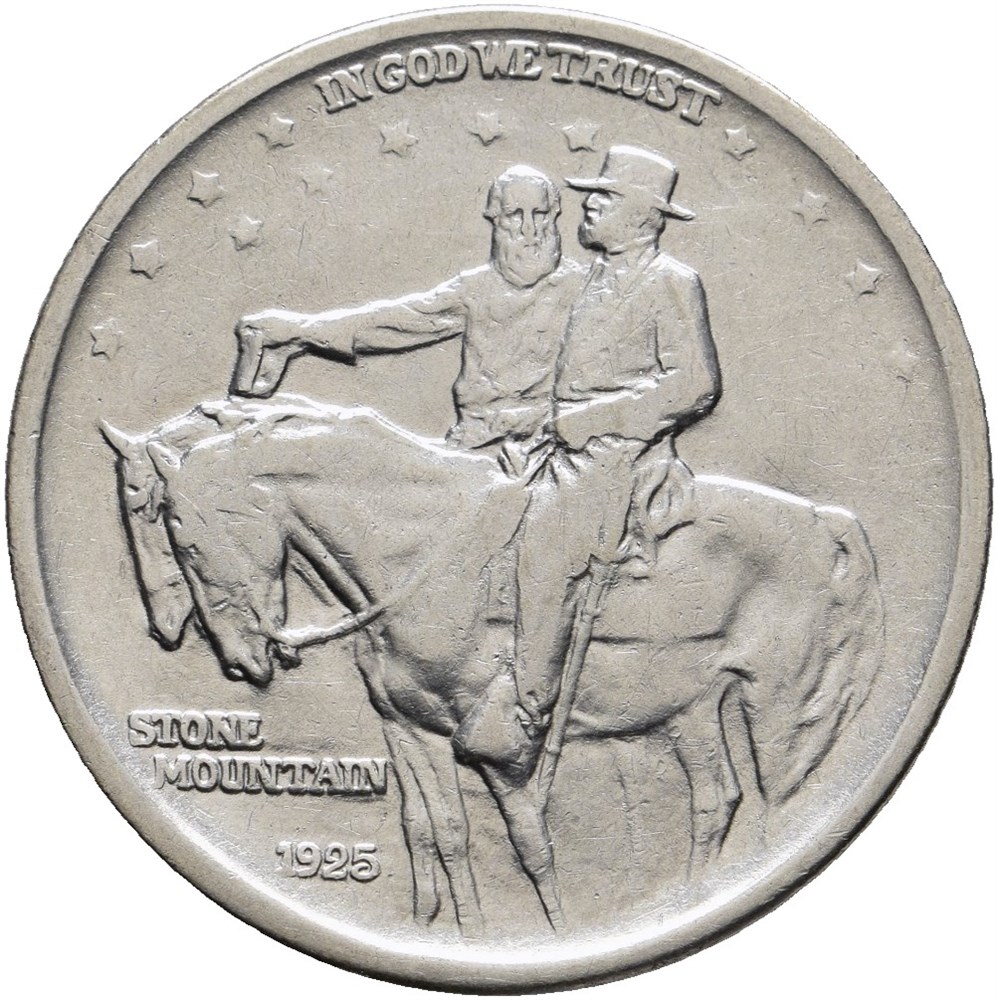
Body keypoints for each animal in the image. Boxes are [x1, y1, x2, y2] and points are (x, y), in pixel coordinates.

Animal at [100, 395, 884, 935]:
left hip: (782, 715)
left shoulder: (498, 749)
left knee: (778, 801)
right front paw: (446, 927)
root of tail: (829, 523)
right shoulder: (409, 730)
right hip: (687, 712)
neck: (424, 553)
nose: (236, 661)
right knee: (715, 799)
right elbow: (437, 831)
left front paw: (551, 933)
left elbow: (531, 845)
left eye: (177, 534)